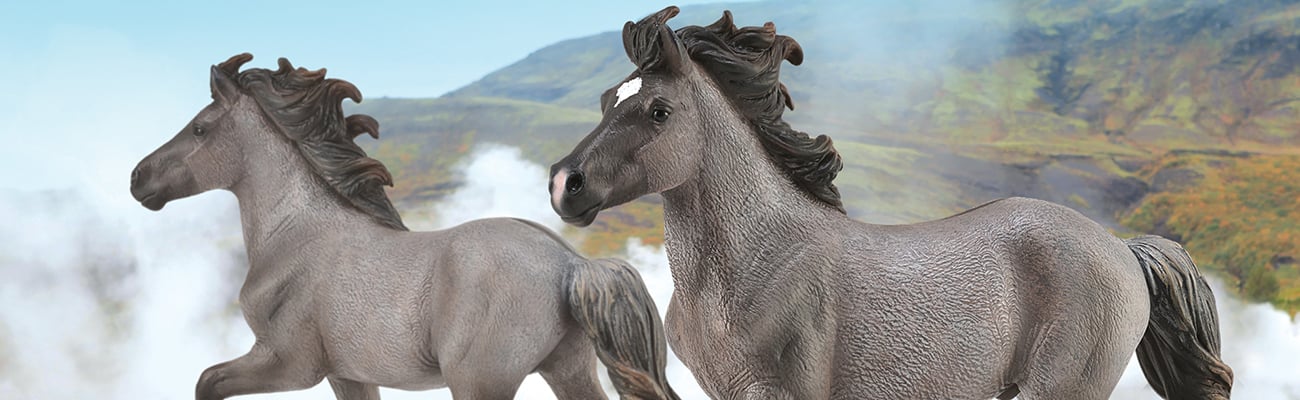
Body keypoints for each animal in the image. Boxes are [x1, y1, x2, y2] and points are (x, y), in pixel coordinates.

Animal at [129, 53, 679, 400]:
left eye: (200, 128)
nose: (138, 179)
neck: (297, 237)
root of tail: (571, 264)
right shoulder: (346, 376)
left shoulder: (288, 364)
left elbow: (207, 381)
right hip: (568, 368)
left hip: (480, 383)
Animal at [548, 7, 1233, 400]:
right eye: (607, 98)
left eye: (658, 110)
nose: (563, 184)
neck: (755, 264)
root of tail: (1122, 247)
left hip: (1065, 387)